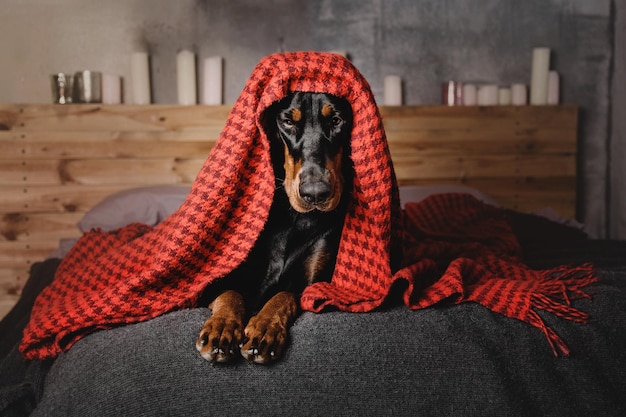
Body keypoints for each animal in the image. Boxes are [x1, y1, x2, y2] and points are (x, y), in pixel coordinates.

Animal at [195, 92, 352, 364]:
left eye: (336, 120)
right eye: (288, 122)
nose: (315, 193)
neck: (294, 218)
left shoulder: (314, 286)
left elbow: (285, 295)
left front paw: (265, 327)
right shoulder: (213, 280)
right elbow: (231, 293)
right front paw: (222, 328)